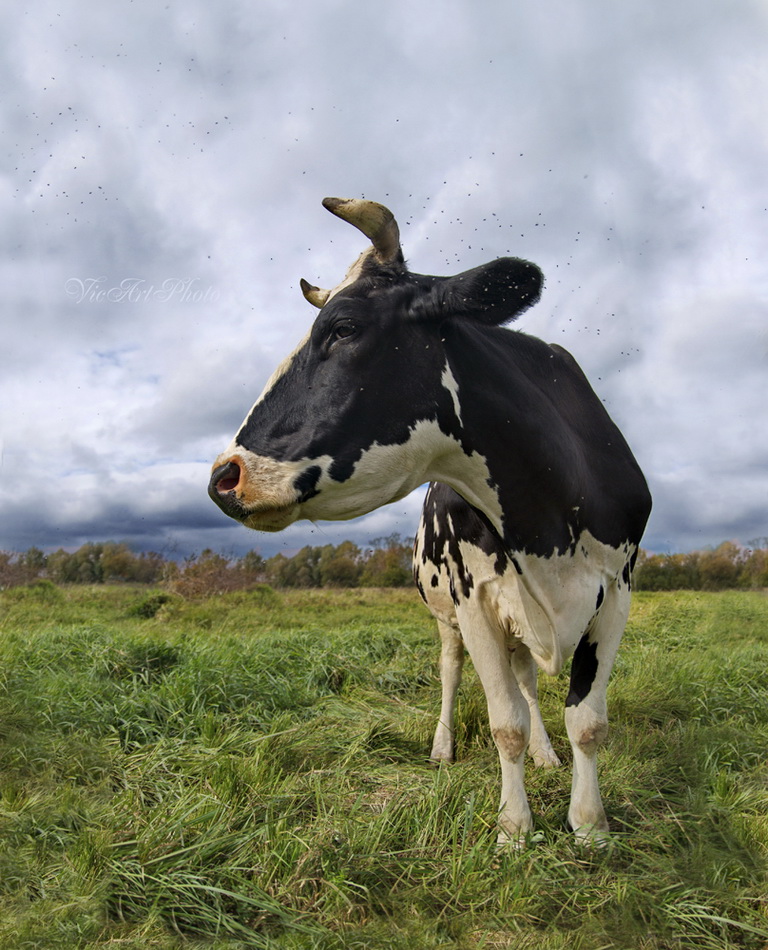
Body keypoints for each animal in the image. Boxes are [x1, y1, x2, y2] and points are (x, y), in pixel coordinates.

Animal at [210, 195, 656, 848]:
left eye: (343, 328)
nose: (225, 475)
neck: (545, 526)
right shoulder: (475, 599)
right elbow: (504, 723)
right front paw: (515, 828)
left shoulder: (617, 589)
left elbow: (586, 721)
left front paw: (590, 823)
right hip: (448, 613)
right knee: (451, 672)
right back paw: (444, 746)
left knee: (527, 679)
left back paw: (547, 755)